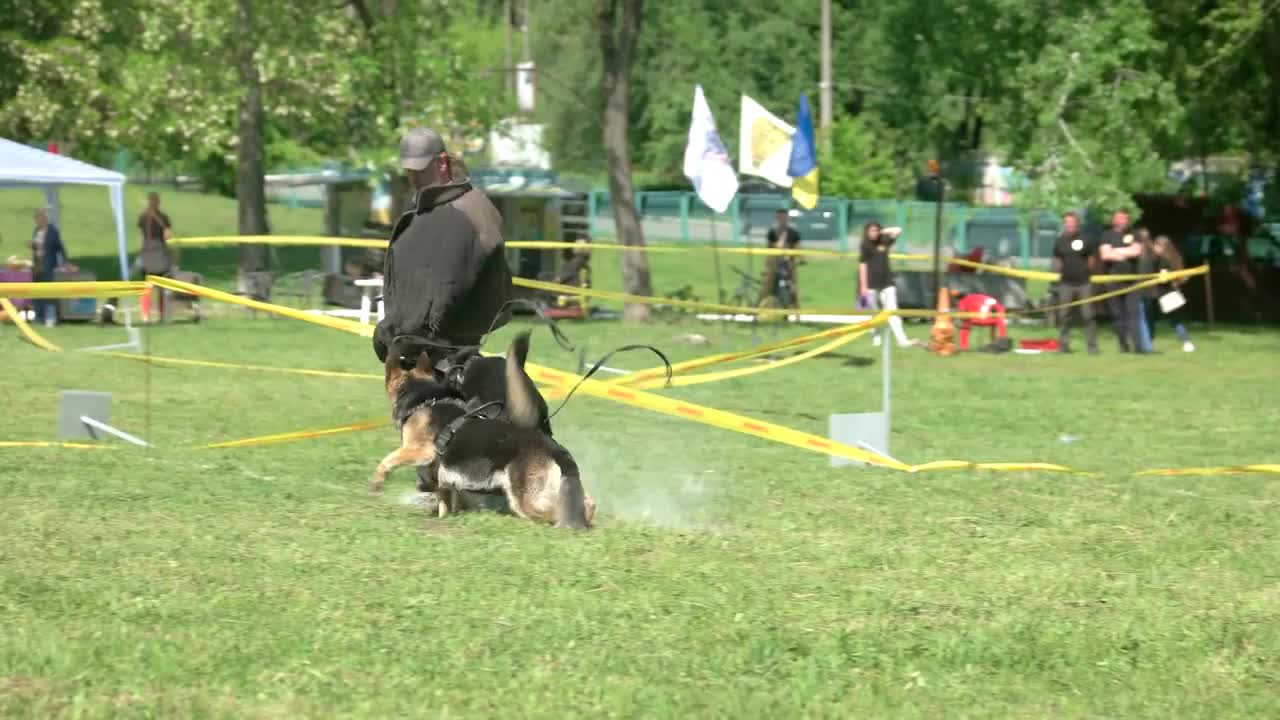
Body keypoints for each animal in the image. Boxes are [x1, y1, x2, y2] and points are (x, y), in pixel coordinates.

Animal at [366, 333, 593, 527]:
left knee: (558, 513)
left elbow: (386, 461)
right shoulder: (443, 478)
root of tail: (554, 447)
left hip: (526, 500)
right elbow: (444, 502)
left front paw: (375, 485)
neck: (425, 398)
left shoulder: (420, 451)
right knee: (587, 502)